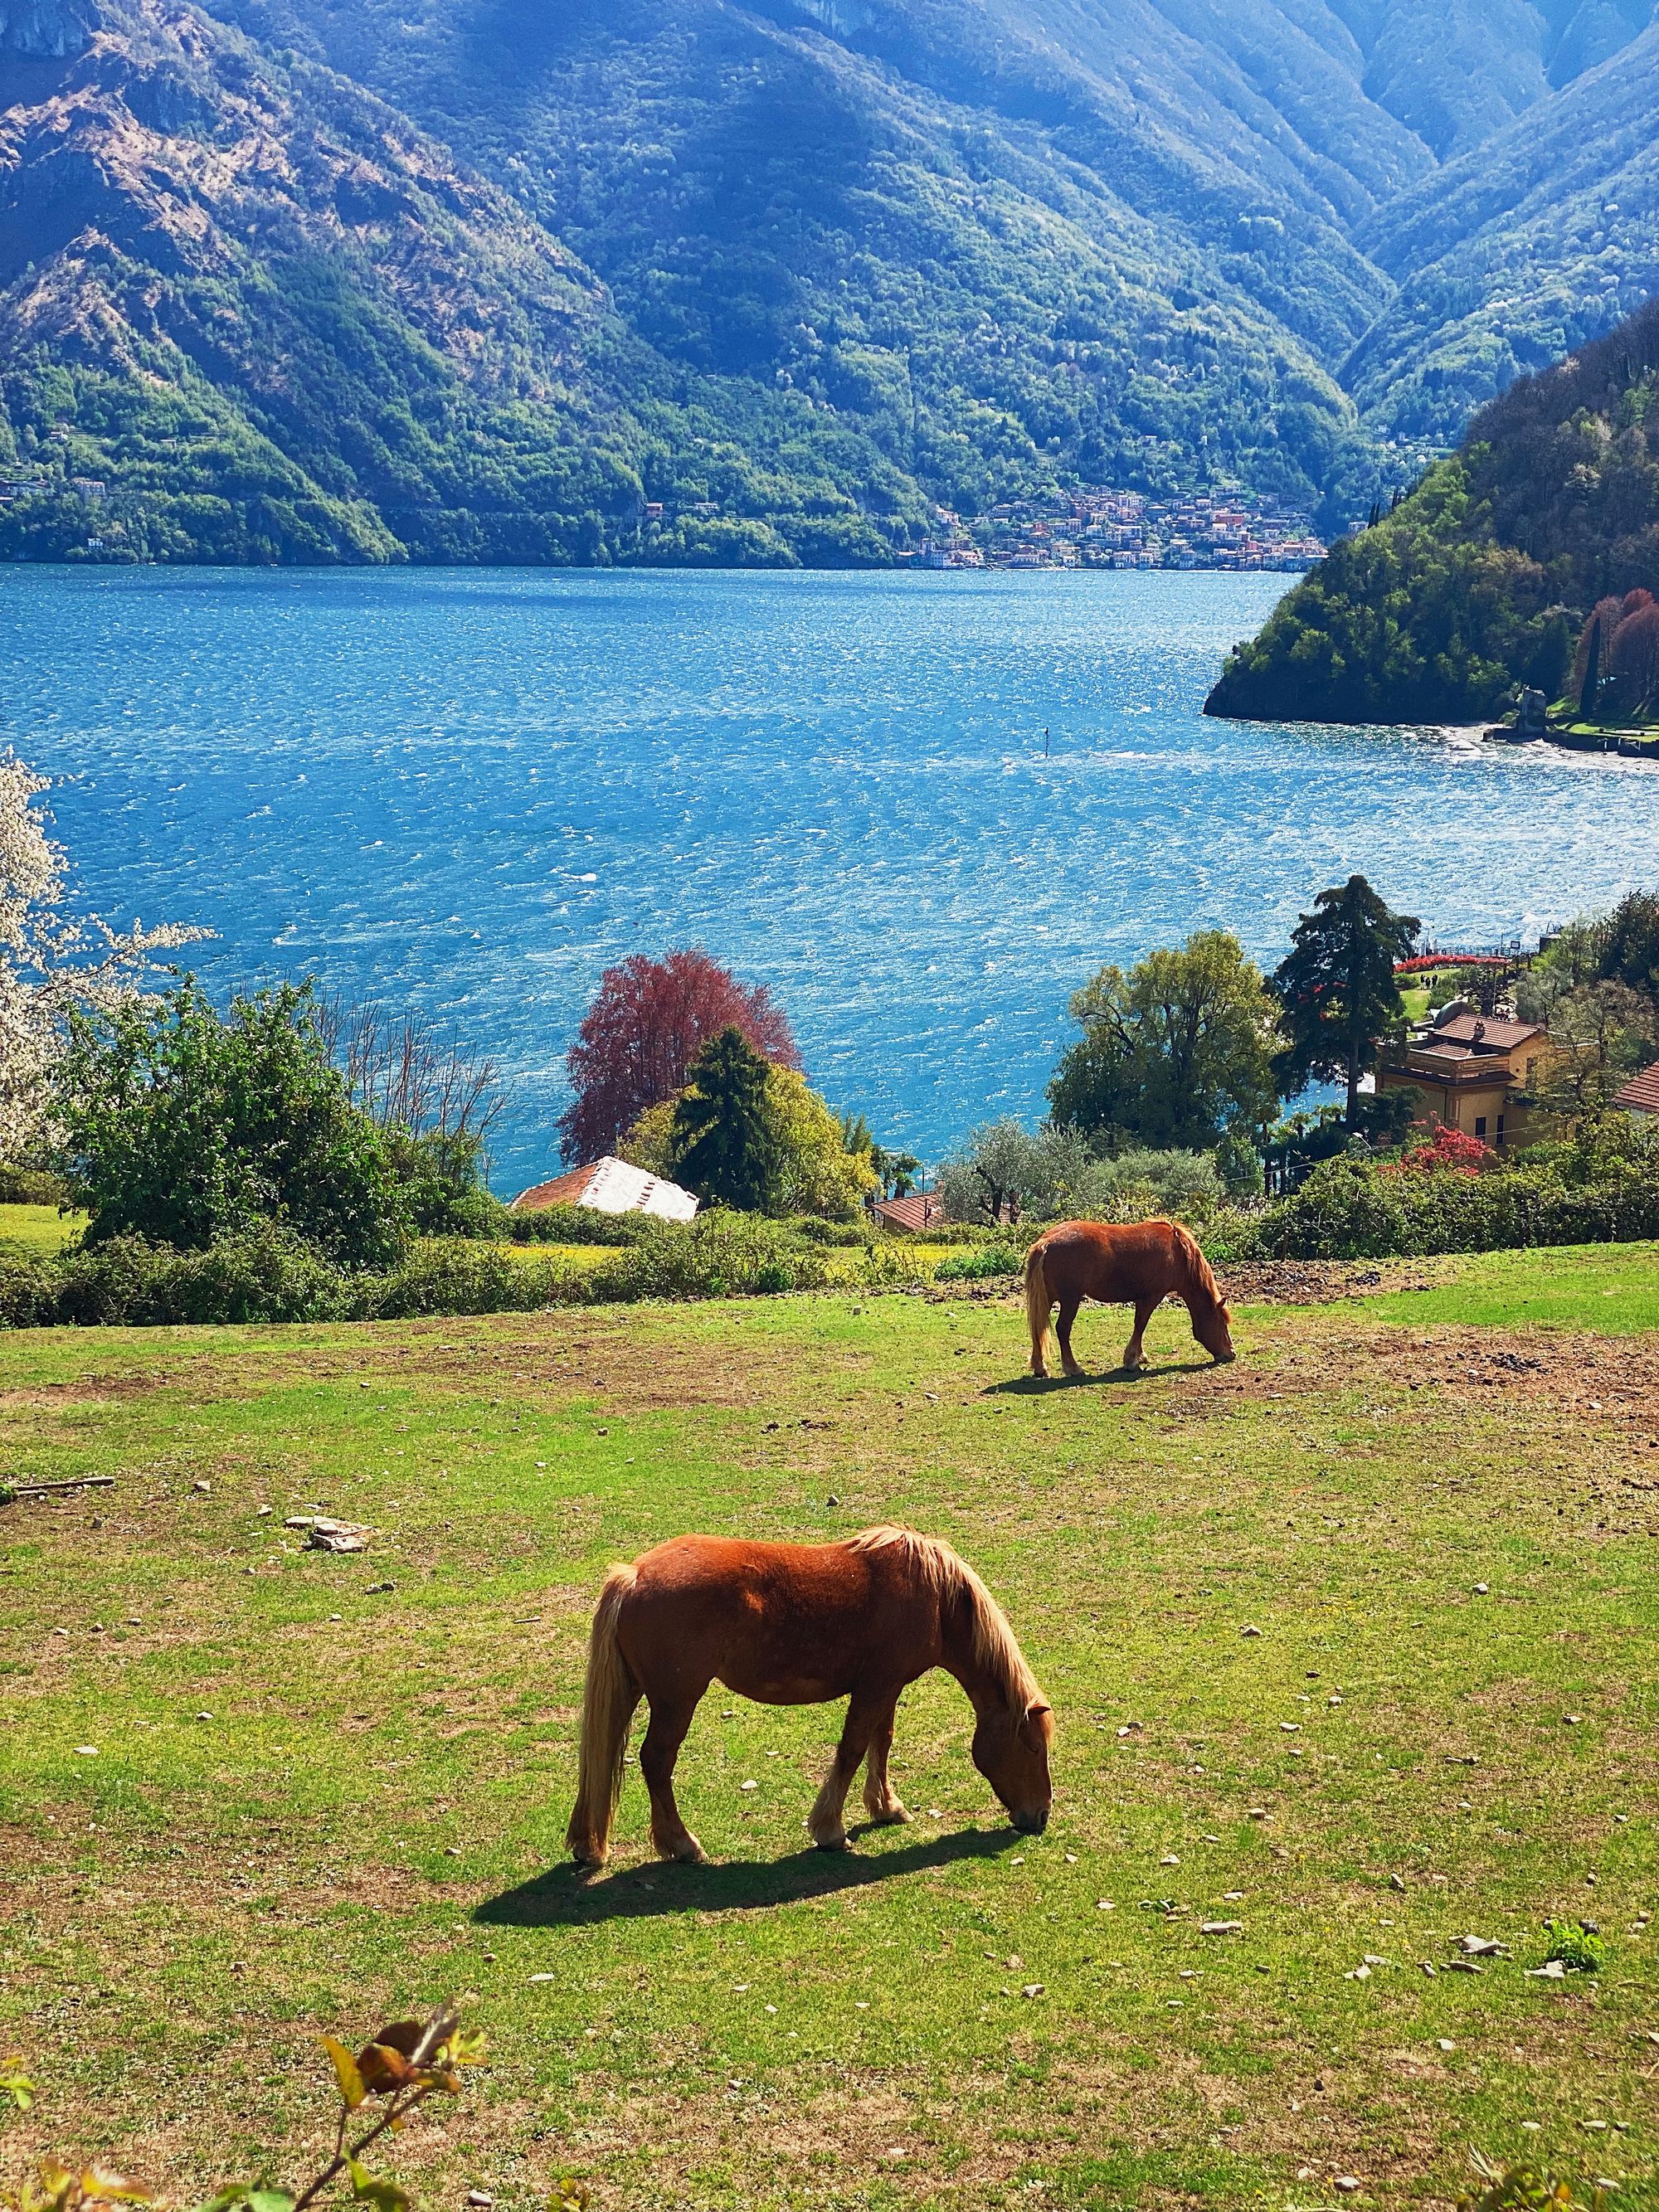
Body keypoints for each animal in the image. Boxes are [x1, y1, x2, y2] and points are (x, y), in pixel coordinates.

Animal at [571, 1530, 1053, 1875]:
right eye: (1032, 1747)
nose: (1041, 1816)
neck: (935, 1597)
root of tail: (634, 1574)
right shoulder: (876, 1687)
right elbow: (853, 1749)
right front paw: (830, 1830)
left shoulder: (888, 1687)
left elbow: (881, 1743)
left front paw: (886, 1808)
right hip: (675, 1702)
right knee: (655, 1761)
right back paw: (682, 1844)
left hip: (633, 1692)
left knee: (602, 1758)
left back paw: (586, 1844)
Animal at [1026, 1221, 1238, 1371]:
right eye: (1222, 1323)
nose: (1231, 1354)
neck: (1177, 1253)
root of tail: (1046, 1242)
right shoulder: (1152, 1296)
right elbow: (1140, 1324)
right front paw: (1131, 1360)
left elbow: (1141, 1326)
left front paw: (1140, 1356)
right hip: (1070, 1300)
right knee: (1062, 1329)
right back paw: (1073, 1368)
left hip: (1047, 1299)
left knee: (1037, 1328)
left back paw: (1040, 1367)